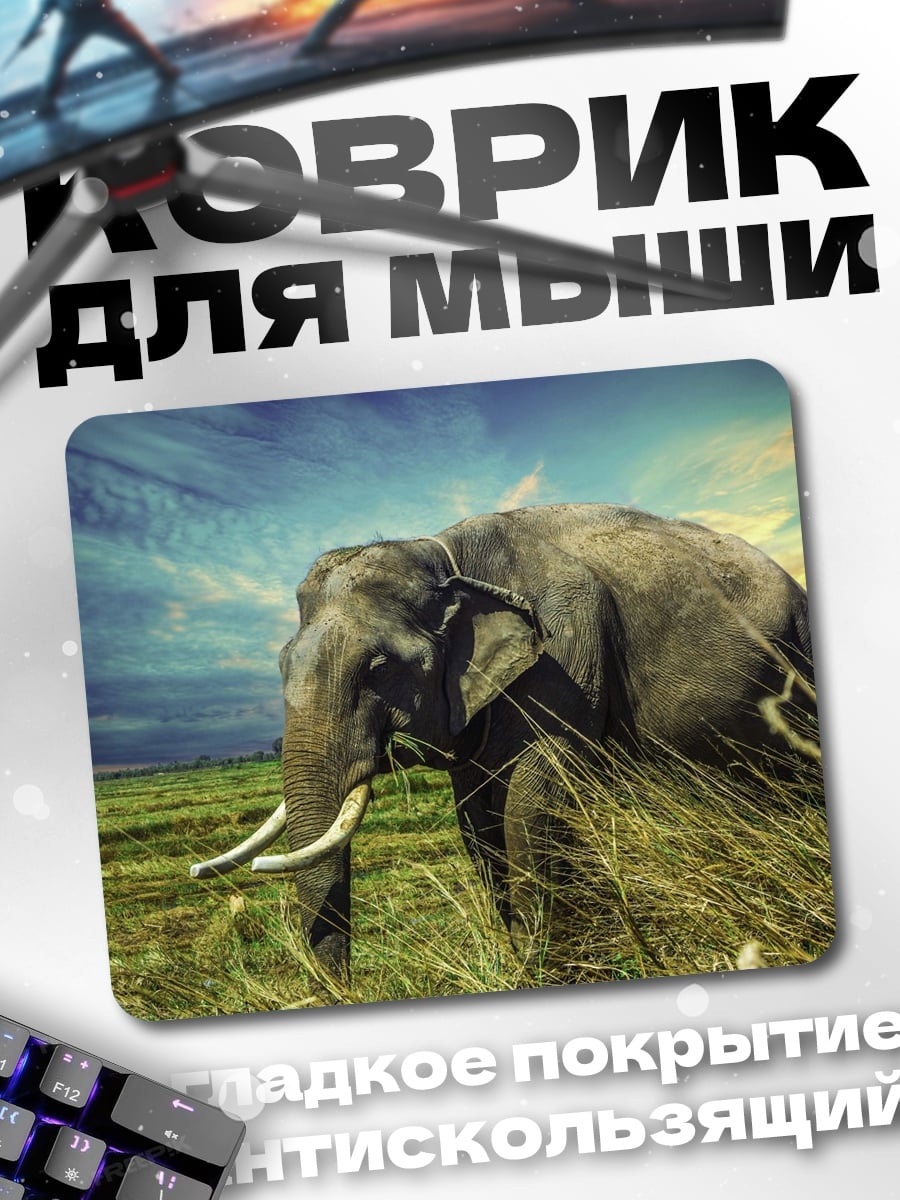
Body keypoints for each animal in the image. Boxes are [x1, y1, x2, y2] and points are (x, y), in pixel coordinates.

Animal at [190, 503, 816, 980]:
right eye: (279, 663)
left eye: (378, 668)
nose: (346, 990)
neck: (443, 555)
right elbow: (476, 820)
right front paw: (526, 960)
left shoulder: (565, 652)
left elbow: (531, 803)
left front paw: (547, 967)